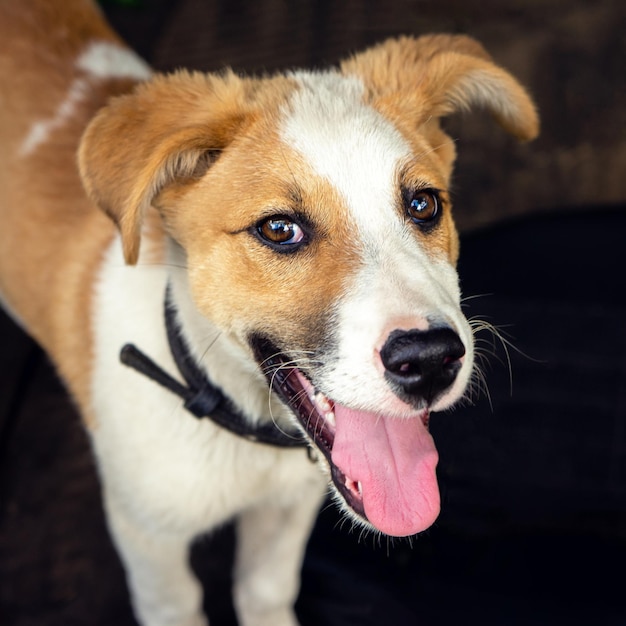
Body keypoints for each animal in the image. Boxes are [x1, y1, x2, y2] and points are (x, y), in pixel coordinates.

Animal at [0, 1, 536, 624]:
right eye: (280, 229)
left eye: (424, 204)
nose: (429, 361)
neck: (242, 426)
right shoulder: (148, 540)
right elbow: (177, 602)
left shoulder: (288, 507)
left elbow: (264, 590)